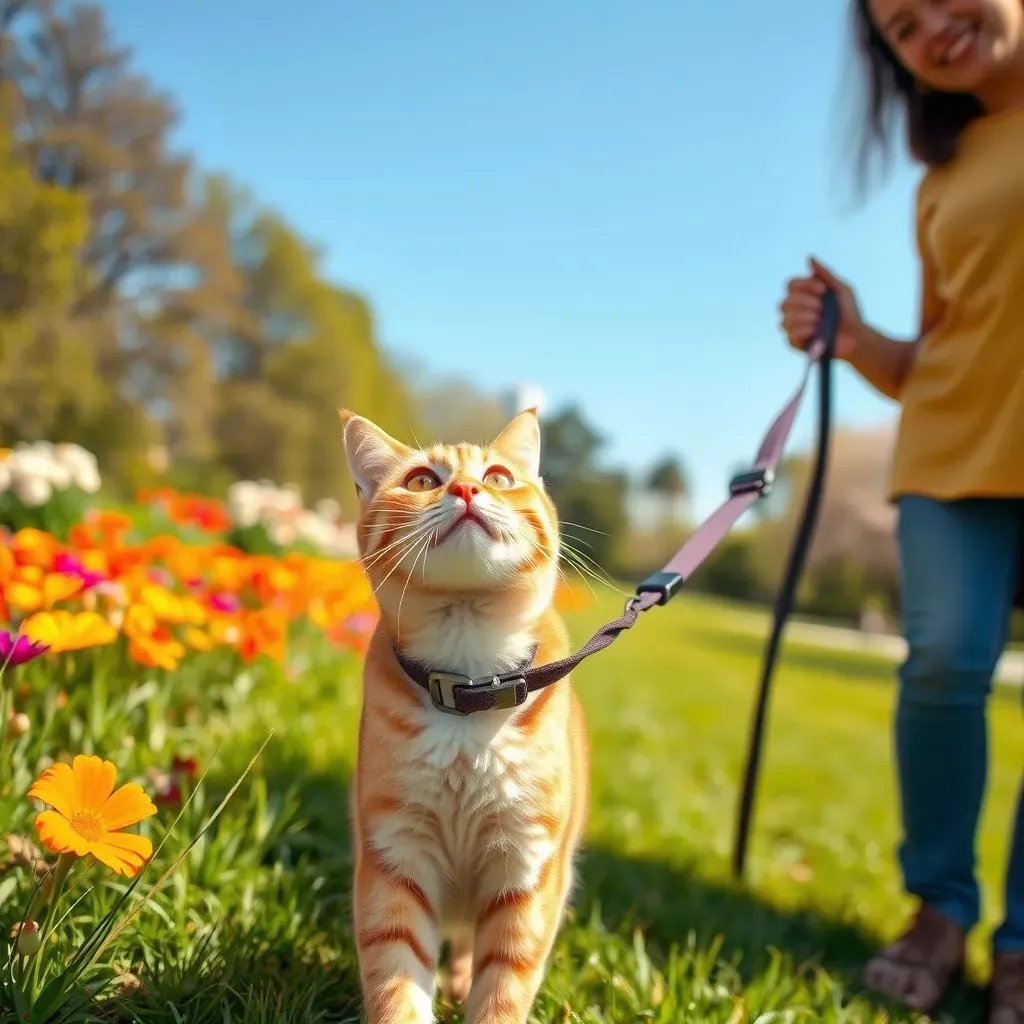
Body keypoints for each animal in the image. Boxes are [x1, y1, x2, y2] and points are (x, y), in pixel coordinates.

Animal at [339, 407, 589, 1024]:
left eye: (499, 477)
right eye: (423, 480)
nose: (468, 489)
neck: (471, 687)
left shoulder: (528, 861)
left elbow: (504, 981)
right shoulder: (395, 852)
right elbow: (395, 976)